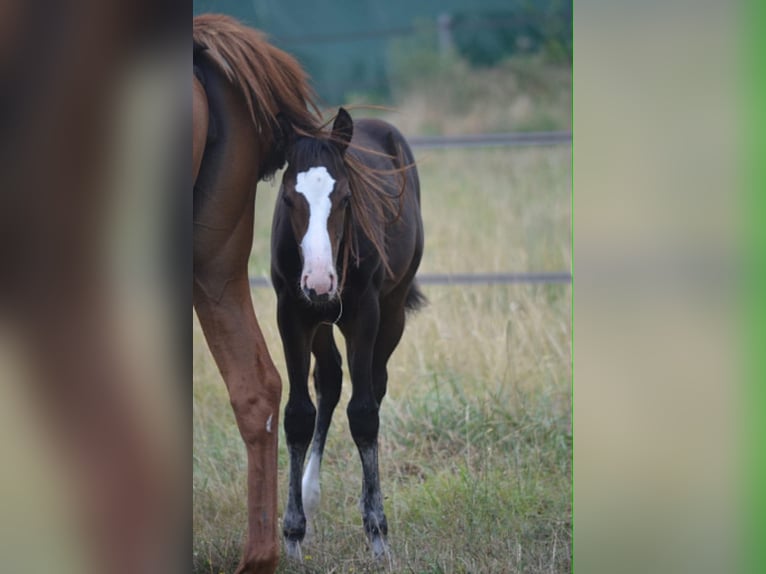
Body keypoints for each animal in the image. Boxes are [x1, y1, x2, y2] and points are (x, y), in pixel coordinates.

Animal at [270, 107, 425, 560]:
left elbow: (364, 414)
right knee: (330, 379)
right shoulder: (292, 313)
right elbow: (298, 416)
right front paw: (292, 536)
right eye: (288, 199)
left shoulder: (365, 315)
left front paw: (377, 532)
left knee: (373, 383)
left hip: (391, 313)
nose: (321, 282)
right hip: (321, 321)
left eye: (344, 199)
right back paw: (309, 495)